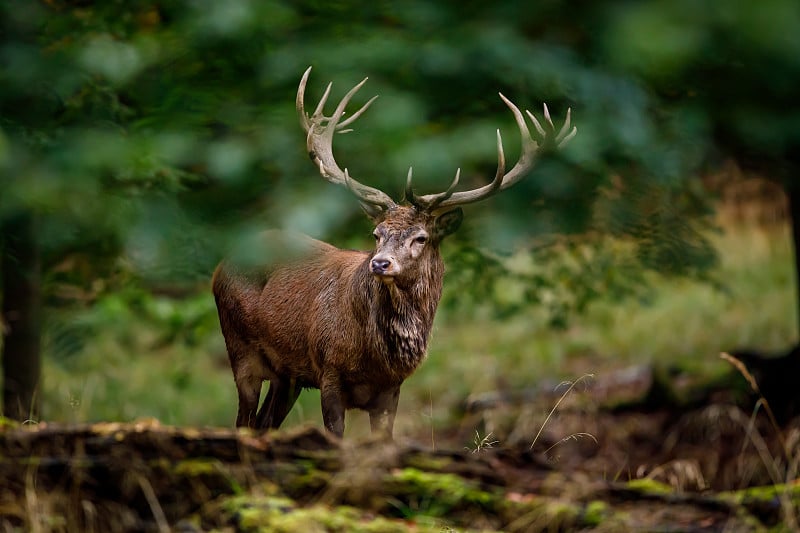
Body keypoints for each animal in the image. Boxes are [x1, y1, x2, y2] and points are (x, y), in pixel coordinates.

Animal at [212, 67, 576, 436]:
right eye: (377, 234)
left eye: (421, 238)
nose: (380, 263)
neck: (376, 356)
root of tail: (222, 265)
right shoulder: (328, 371)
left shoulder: (392, 389)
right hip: (240, 350)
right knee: (243, 420)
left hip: (287, 376)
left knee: (264, 423)